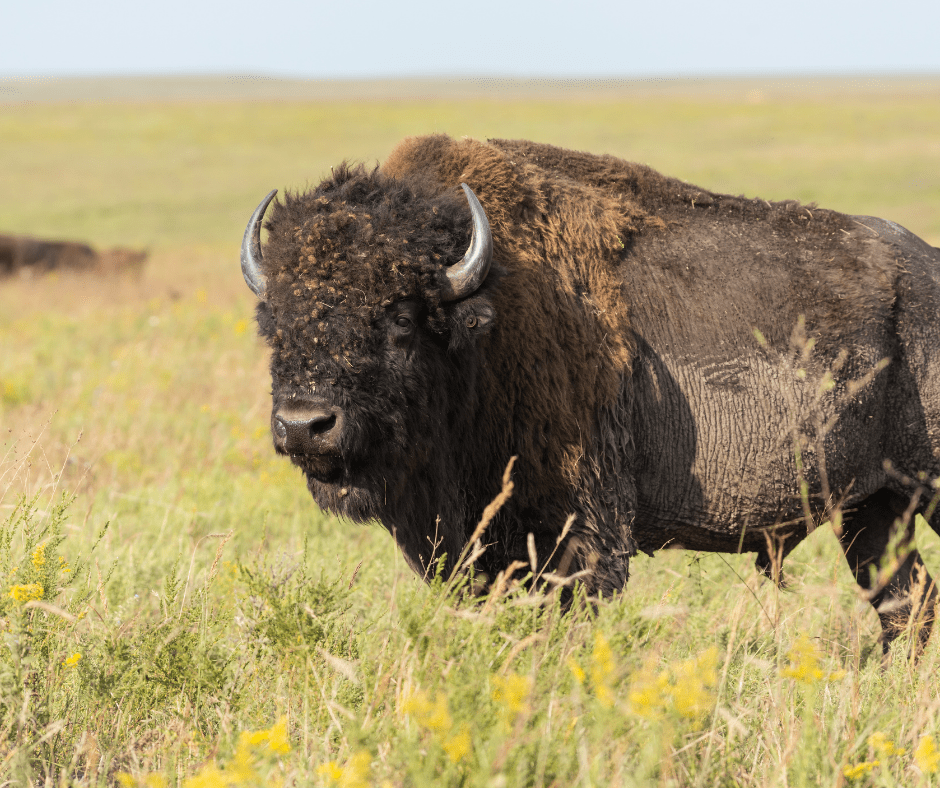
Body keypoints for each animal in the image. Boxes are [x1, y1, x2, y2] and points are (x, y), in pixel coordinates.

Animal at [241, 135, 940, 648]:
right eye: (275, 319)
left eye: (402, 317)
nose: (305, 424)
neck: (486, 320)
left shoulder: (579, 532)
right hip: (874, 505)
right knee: (906, 602)